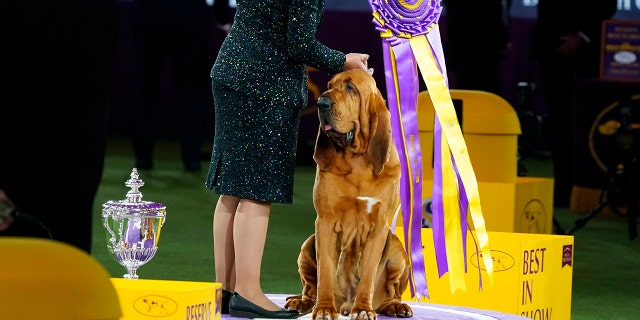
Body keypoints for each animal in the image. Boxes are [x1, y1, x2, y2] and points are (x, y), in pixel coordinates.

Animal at [284, 70, 410, 320]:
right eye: (330, 85)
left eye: (351, 88)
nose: (321, 103)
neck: (357, 159)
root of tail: (344, 303)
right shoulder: (325, 222)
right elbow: (325, 271)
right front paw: (324, 308)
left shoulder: (379, 228)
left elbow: (368, 275)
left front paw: (363, 309)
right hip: (308, 245)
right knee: (310, 288)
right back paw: (301, 303)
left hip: (396, 248)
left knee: (391, 292)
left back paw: (395, 306)